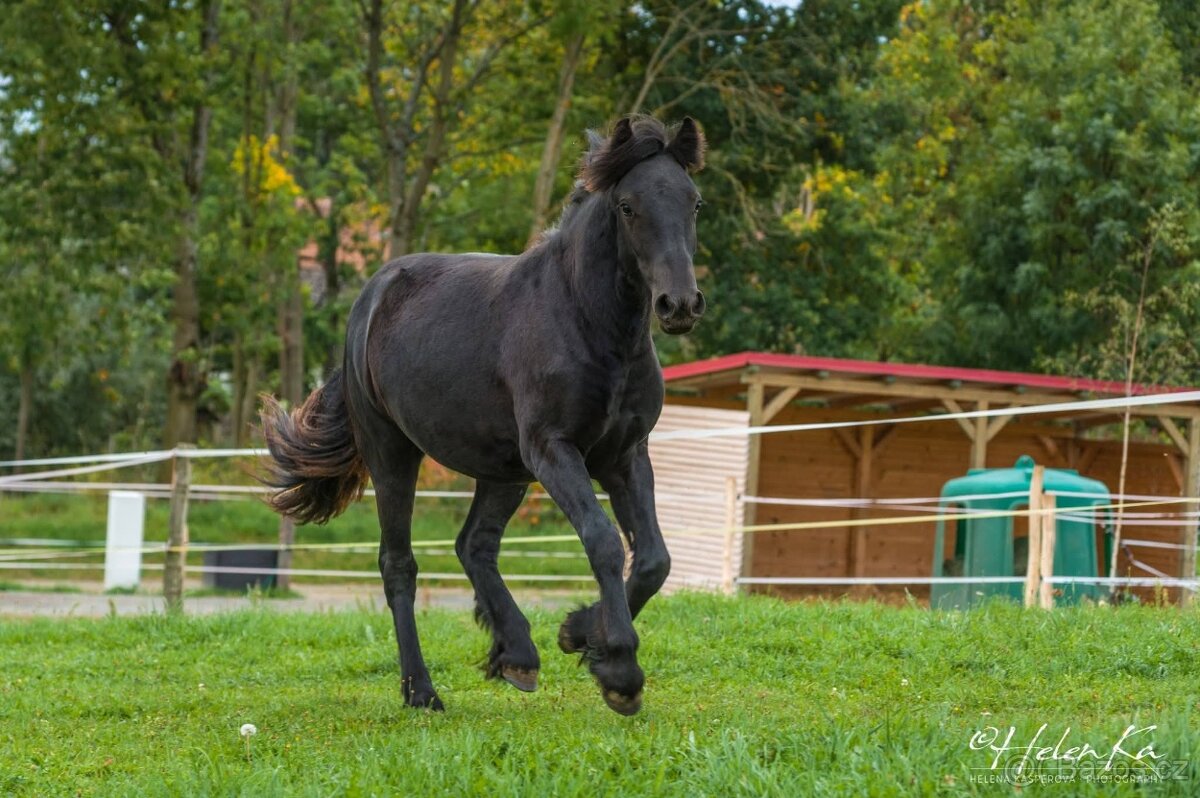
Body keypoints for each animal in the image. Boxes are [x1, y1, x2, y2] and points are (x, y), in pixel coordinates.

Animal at [261, 116, 706, 715]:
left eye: (694, 202)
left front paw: (577, 634)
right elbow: (604, 541)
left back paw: (517, 653)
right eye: (628, 206)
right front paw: (618, 670)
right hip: (393, 450)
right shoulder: (555, 449)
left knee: (474, 545)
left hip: (503, 469)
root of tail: (371, 295)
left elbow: (655, 559)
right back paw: (422, 690)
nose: (679, 305)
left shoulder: (625, 454)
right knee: (399, 564)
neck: (590, 324)